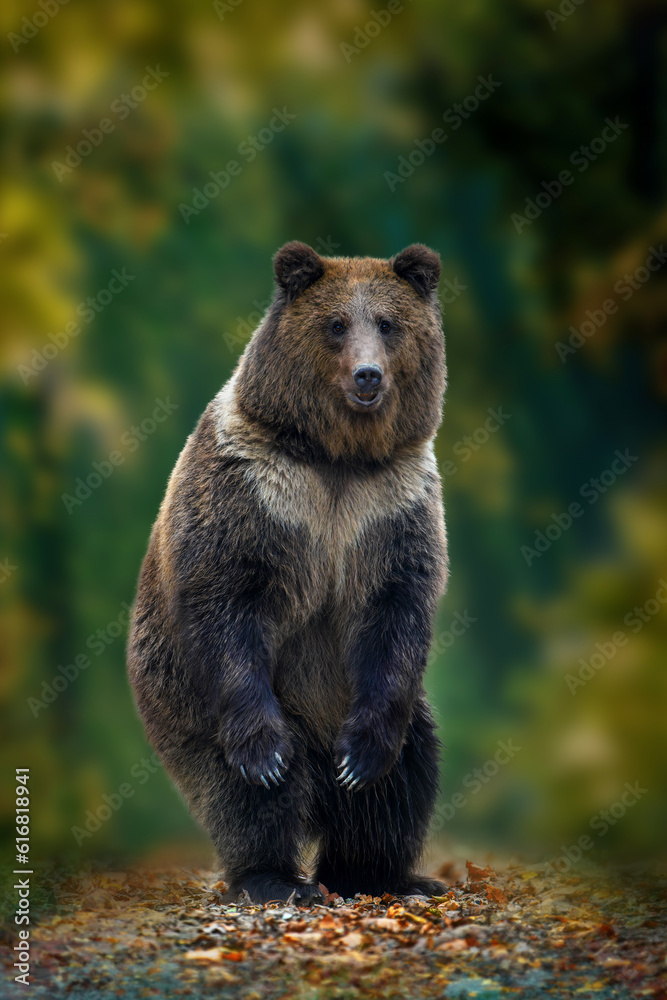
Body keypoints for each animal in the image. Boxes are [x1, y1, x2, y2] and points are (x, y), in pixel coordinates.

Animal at [127, 241, 449, 904]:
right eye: (336, 324)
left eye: (388, 324)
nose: (368, 375)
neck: (336, 459)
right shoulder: (257, 490)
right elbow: (225, 598)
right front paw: (264, 759)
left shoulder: (391, 505)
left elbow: (399, 605)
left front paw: (362, 762)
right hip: (189, 706)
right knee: (243, 795)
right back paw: (274, 877)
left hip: (370, 707)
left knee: (406, 775)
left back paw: (385, 871)